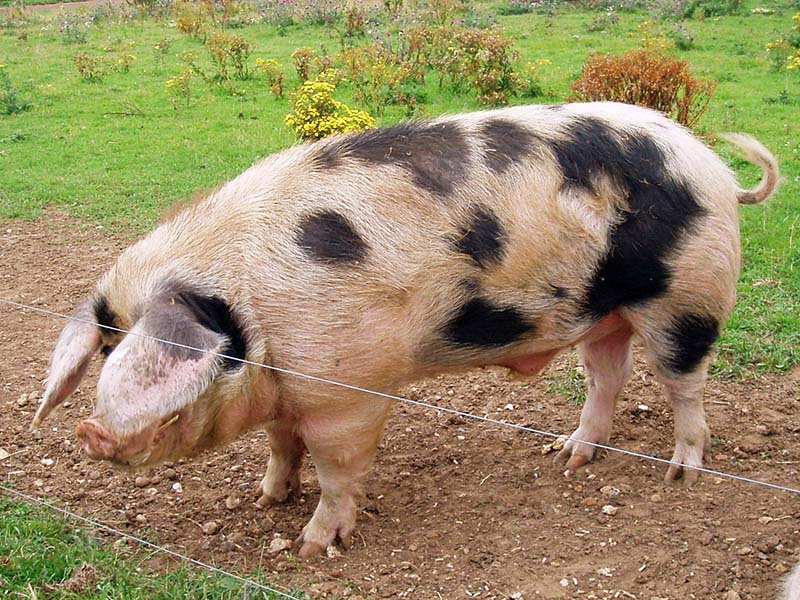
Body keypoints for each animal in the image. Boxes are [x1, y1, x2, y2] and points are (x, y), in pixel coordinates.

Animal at [34, 103, 780, 556]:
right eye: (108, 344)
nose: (90, 431)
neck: (257, 316)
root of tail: (714, 169)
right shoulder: (290, 392)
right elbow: (280, 444)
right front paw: (267, 496)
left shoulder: (345, 392)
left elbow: (338, 470)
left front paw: (311, 544)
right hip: (602, 313)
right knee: (607, 375)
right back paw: (568, 457)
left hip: (687, 294)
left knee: (684, 383)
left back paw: (682, 474)